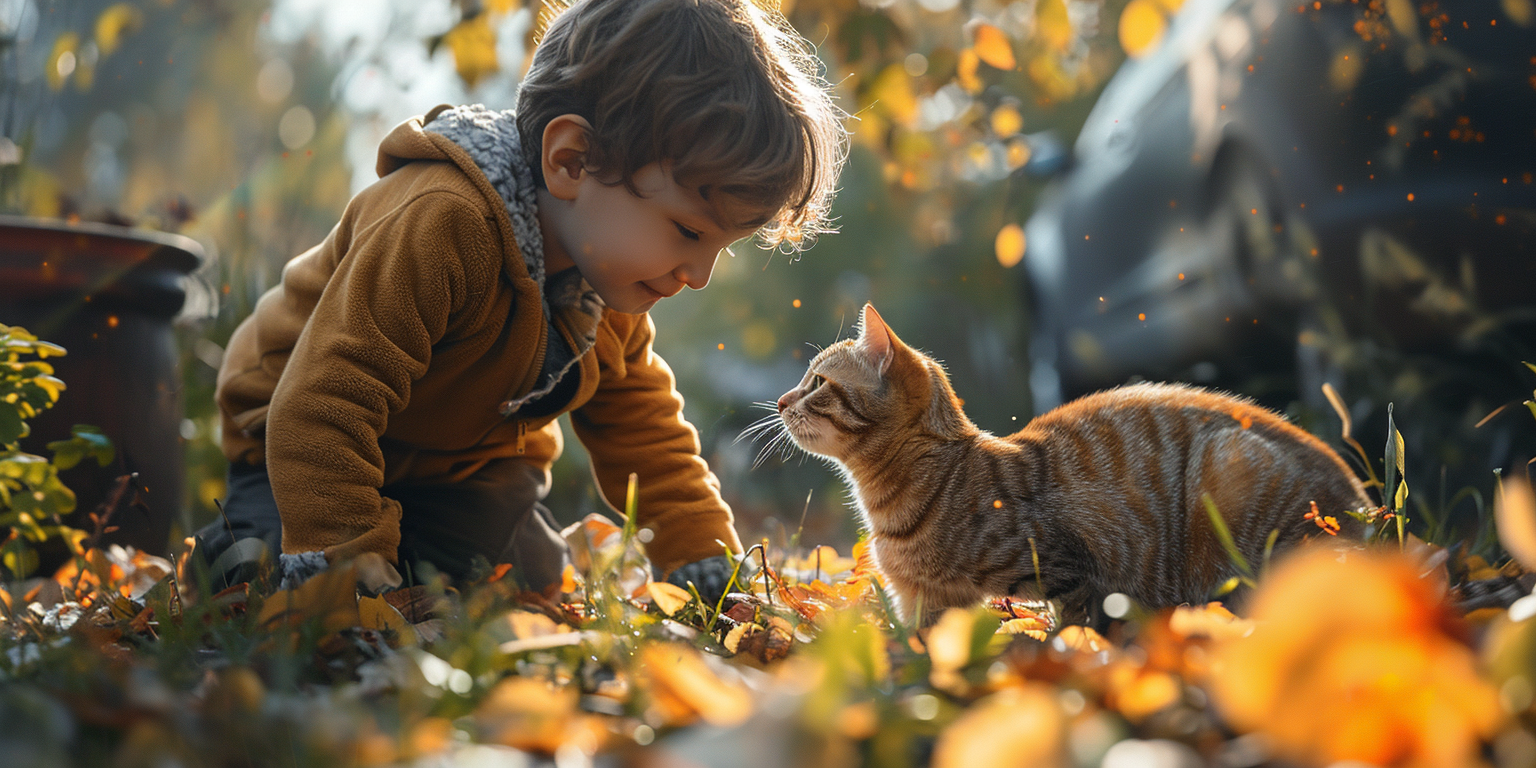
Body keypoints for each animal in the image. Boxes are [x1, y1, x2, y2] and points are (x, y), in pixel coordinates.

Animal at [774, 302, 1376, 626]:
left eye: (817, 383)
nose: (779, 401)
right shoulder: (927, 603)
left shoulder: (1070, 569)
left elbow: (1076, 633)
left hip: (1232, 471)